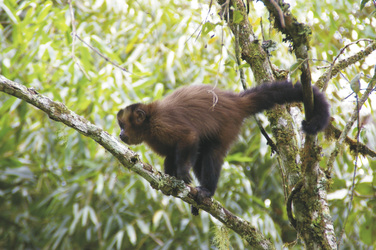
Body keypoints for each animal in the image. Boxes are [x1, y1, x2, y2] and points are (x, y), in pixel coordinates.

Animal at [117, 81, 328, 215]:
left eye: (123, 125)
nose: (120, 134)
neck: (149, 124)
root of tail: (235, 101)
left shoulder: (163, 123)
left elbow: (188, 137)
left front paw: (182, 173)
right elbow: (171, 155)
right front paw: (170, 177)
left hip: (227, 124)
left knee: (212, 153)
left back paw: (207, 191)